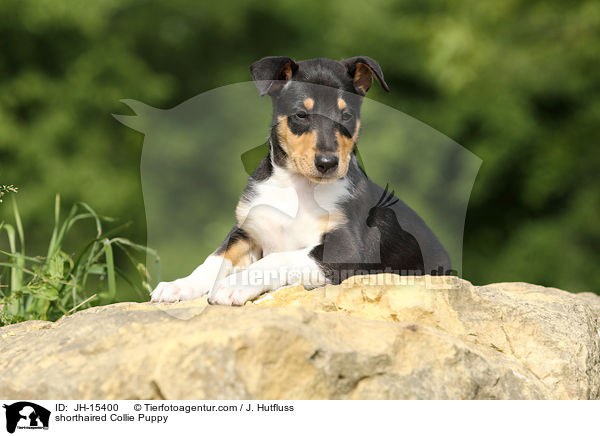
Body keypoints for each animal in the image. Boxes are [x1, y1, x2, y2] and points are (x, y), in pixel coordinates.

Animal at [150, 56, 450, 304]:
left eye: (346, 116)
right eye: (301, 115)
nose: (328, 163)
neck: (298, 187)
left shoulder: (345, 250)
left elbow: (279, 257)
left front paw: (233, 285)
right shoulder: (246, 231)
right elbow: (215, 258)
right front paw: (179, 285)